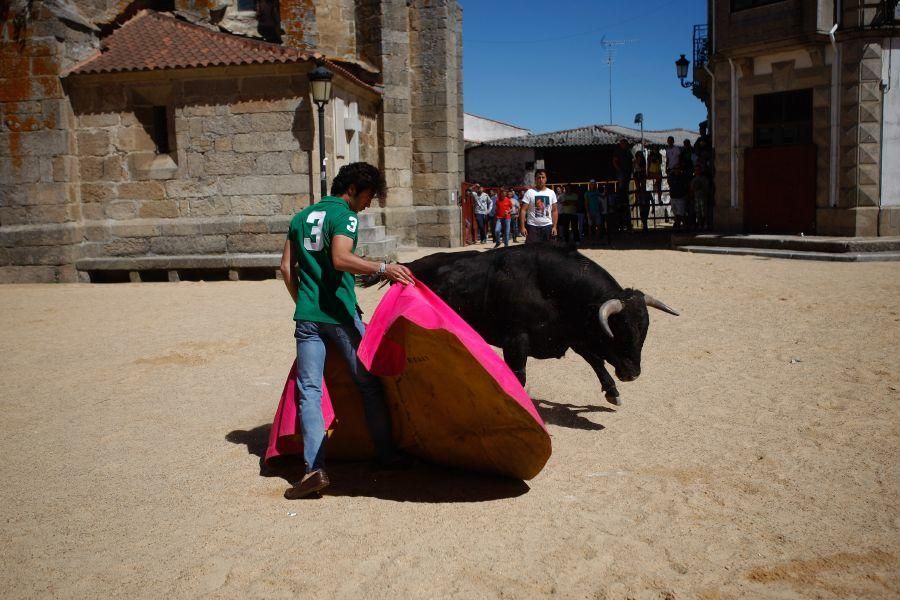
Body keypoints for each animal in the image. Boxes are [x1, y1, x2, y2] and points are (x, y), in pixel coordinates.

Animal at [362, 245, 680, 408]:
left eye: (644, 330)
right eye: (620, 329)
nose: (633, 373)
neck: (552, 288)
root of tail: (410, 265)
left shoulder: (572, 334)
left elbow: (594, 360)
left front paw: (612, 391)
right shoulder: (516, 340)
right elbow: (520, 374)